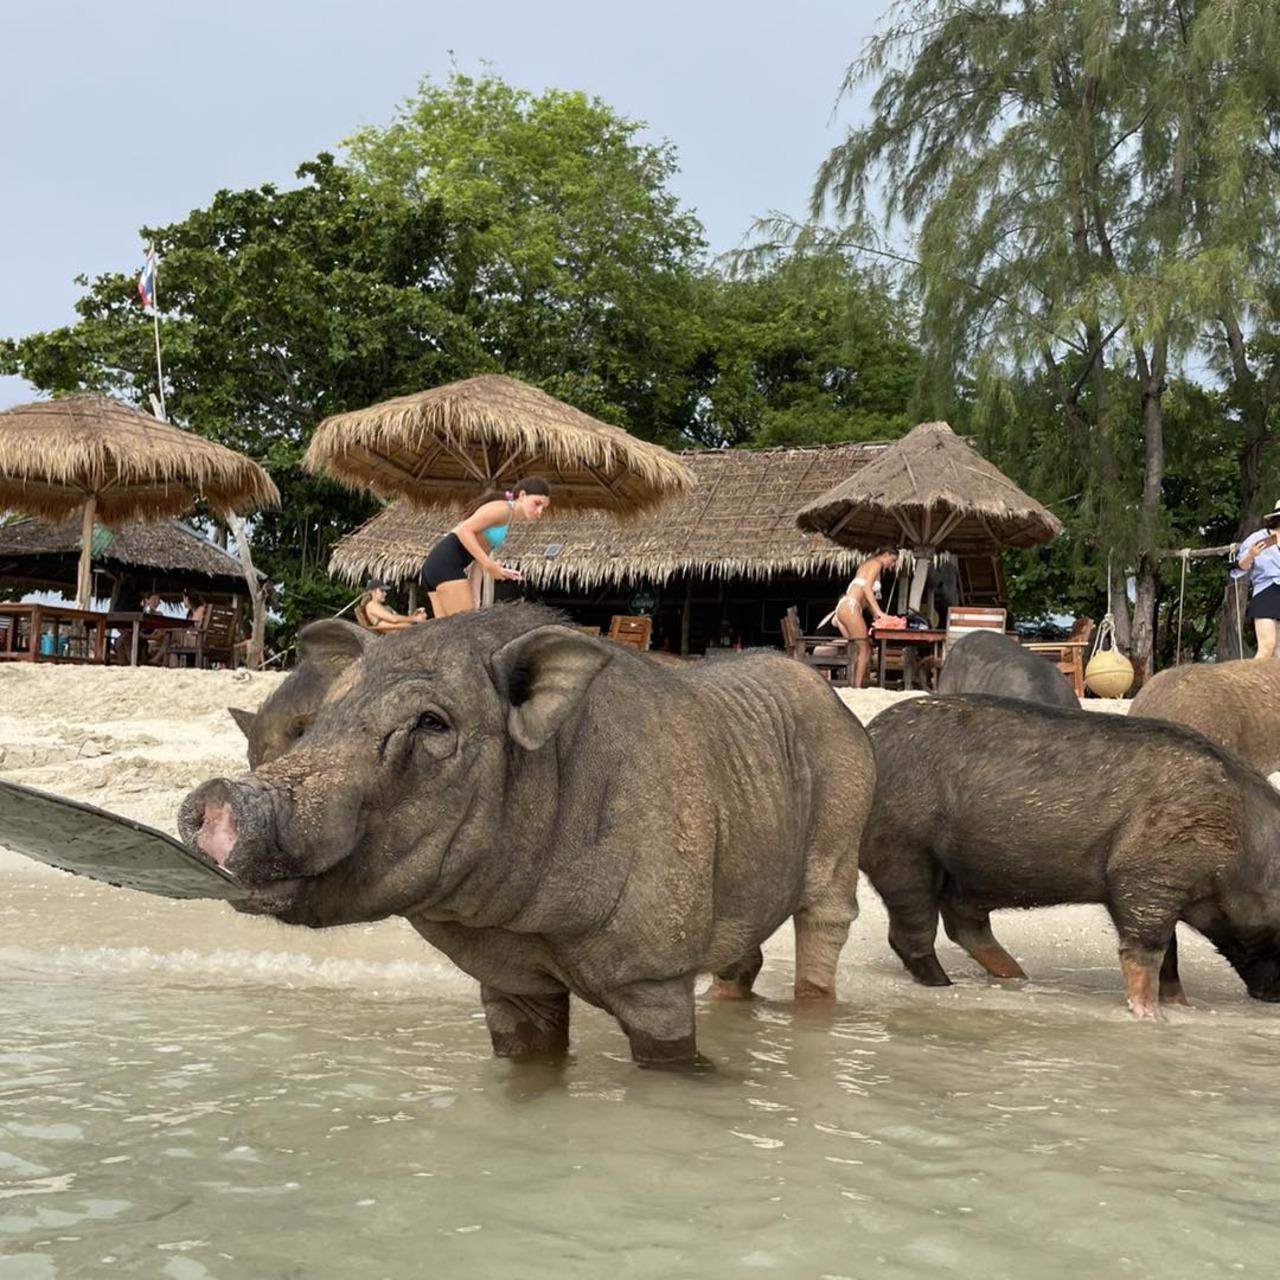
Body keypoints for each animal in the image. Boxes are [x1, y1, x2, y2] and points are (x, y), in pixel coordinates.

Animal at [182, 604, 876, 1067]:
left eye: (431, 723)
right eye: (322, 722)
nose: (214, 799)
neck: (537, 922)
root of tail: (842, 708)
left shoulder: (653, 973)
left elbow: (669, 1057)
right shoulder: (510, 979)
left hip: (846, 812)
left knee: (827, 920)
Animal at [860, 694, 1280, 1019]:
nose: (1273, 997)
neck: (1246, 846)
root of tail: (870, 735)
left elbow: (1170, 956)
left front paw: (1183, 1007)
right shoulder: (1145, 875)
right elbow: (1148, 952)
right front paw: (1152, 1018)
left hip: (963, 873)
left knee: (963, 923)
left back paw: (1017, 978)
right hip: (903, 851)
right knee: (911, 932)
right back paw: (945, 985)